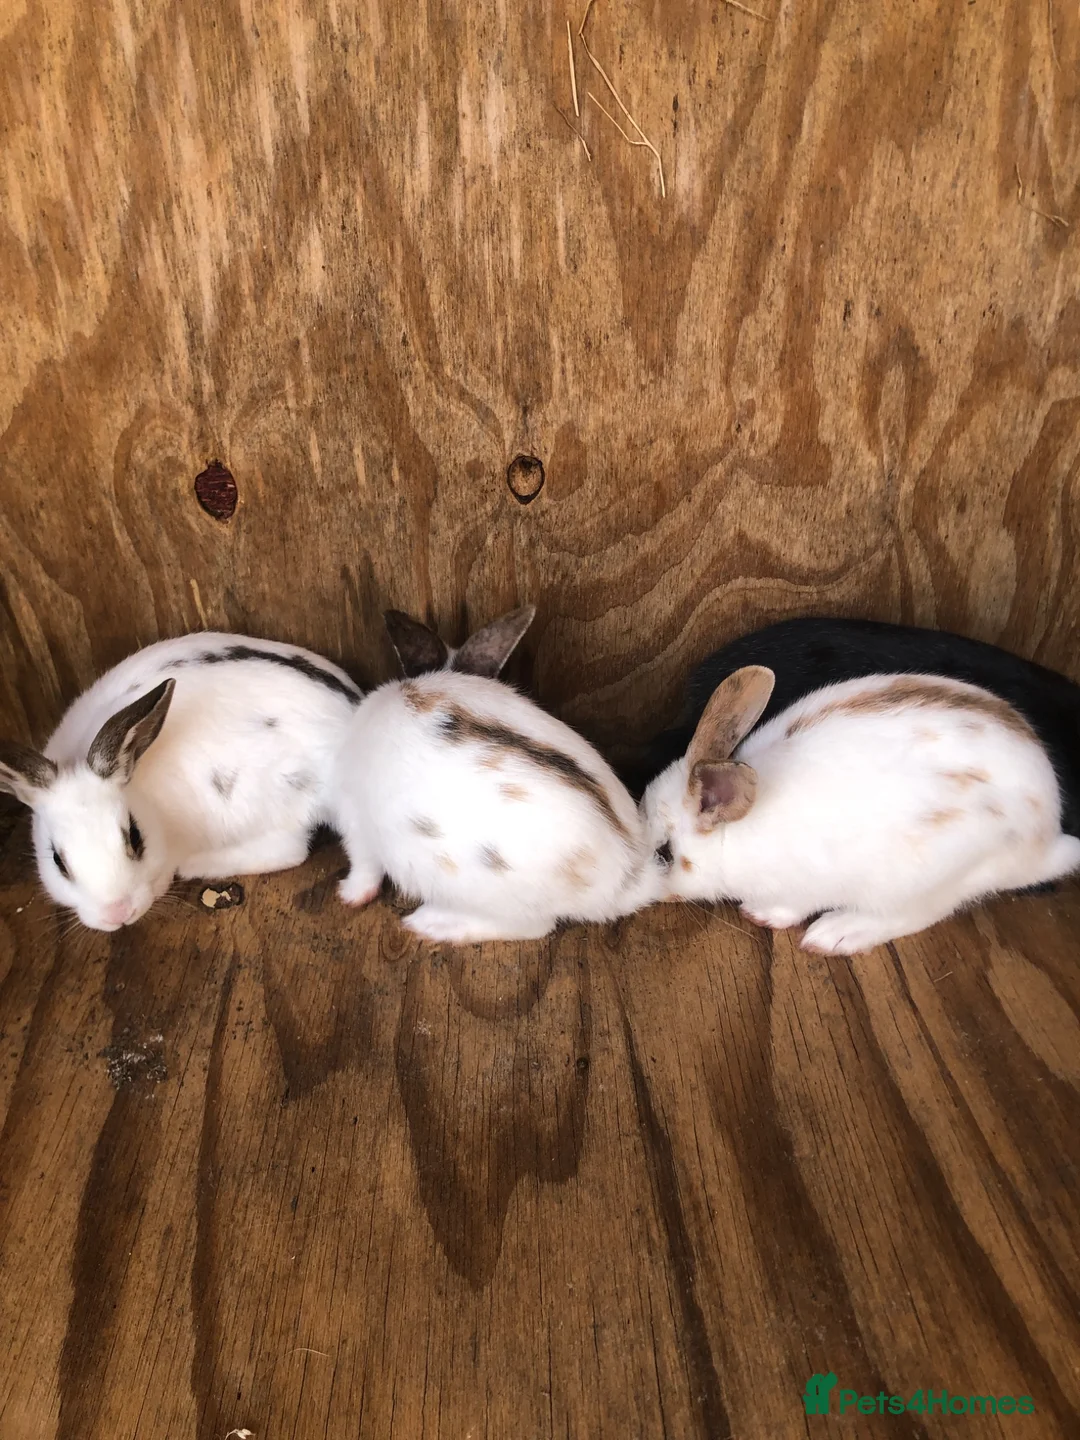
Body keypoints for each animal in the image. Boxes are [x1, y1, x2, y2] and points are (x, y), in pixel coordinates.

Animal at [332, 608, 654, 942]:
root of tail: (627, 880)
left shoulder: (354, 822)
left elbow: (363, 866)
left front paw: (349, 894)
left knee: (535, 927)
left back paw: (431, 924)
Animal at [639, 664, 1080, 955]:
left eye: (666, 854)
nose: (636, 887)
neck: (738, 830)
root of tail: (1046, 842)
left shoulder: (802, 886)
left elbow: (789, 907)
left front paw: (761, 915)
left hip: (929, 880)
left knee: (914, 915)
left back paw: (834, 934)